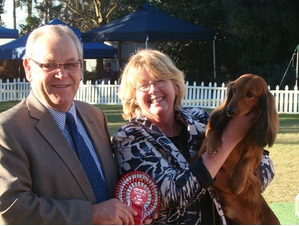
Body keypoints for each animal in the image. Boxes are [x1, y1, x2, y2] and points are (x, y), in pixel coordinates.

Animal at [199, 73, 282, 224]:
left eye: (250, 94)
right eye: (234, 90)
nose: (229, 111)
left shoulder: (257, 153)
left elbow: (246, 161)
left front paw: (238, 183)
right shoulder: (208, 135)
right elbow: (213, 132)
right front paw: (214, 145)